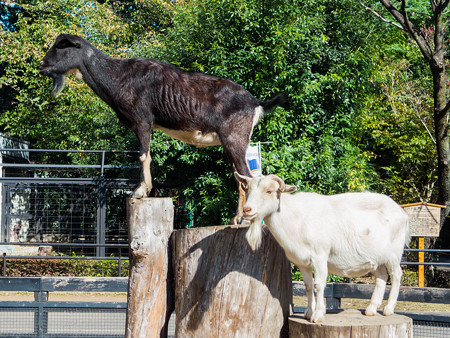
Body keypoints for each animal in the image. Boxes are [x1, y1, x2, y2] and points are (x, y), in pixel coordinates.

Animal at [38, 33, 284, 219]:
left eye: (61, 46)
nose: (42, 66)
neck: (119, 75)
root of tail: (256, 103)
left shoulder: (142, 120)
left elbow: (143, 155)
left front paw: (140, 191)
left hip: (234, 138)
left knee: (246, 177)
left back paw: (241, 218)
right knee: (240, 176)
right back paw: (237, 218)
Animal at [236, 173, 412, 324]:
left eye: (269, 191)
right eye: (248, 189)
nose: (247, 210)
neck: (296, 218)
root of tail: (402, 212)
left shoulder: (319, 256)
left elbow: (319, 284)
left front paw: (318, 315)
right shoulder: (302, 262)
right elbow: (308, 285)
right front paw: (308, 313)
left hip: (394, 253)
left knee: (396, 274)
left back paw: (388, 309)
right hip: (376, 258)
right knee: (382, 276)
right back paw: (371, 309)